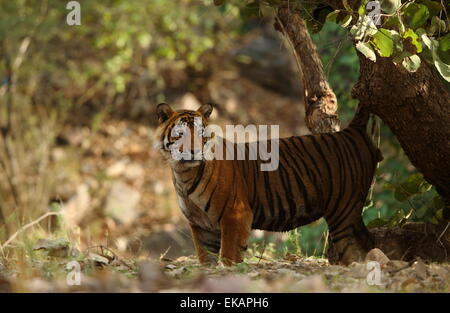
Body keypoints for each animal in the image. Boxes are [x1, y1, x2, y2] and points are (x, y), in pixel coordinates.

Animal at [156, 102, 384, 264]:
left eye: (201, 134)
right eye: (180, 134)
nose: (194, 151)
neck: (183, 173)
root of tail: (351, 131)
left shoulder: (235, 214)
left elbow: (229, 256)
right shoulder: (201, 225)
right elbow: (206, 260)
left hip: (342, 210)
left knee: (351, 249)